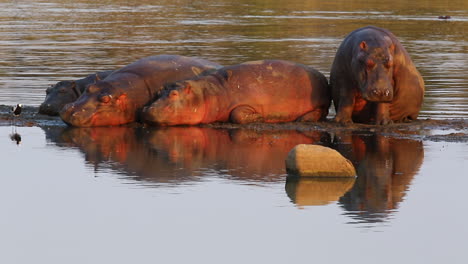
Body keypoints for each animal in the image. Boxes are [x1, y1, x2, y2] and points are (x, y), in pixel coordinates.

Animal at [143, 59, 330, 126]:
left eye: (174, 94)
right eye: (159, 91)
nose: (147, 109)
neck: (209, 93)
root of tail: (323, 77)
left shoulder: (246, 103)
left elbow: (236, 115)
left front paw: (260, 118)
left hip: (320, 102)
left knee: (319, 112)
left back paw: (303, 119)